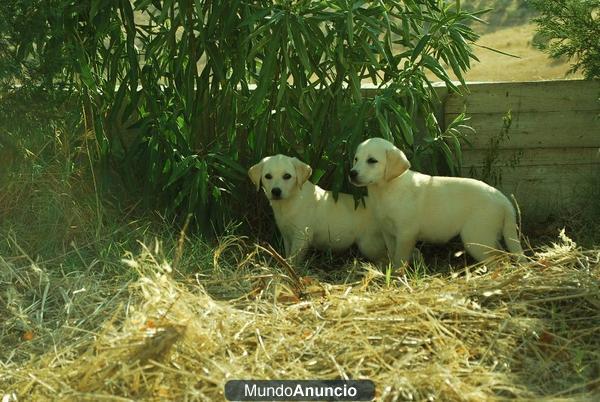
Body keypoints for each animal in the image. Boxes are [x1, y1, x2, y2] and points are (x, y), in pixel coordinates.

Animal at [247, 155, 384, 266]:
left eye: (287, 176)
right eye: (268, 176)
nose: (276, 191)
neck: (291, 201)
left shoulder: (301, 237)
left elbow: (294, 259)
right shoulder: (287, 236)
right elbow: (288, 255)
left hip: (369, 244)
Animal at [350, 138, 524, 266]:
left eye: (372, 161)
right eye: (356, 159)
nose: (352, 173)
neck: (387, 189)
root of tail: (502, 198)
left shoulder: (406, 233)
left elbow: (400, 259)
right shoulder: (388, 232)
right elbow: (393, 254)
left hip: (476, 237)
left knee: (498, 258)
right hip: (486, 236)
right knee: (502, 254)